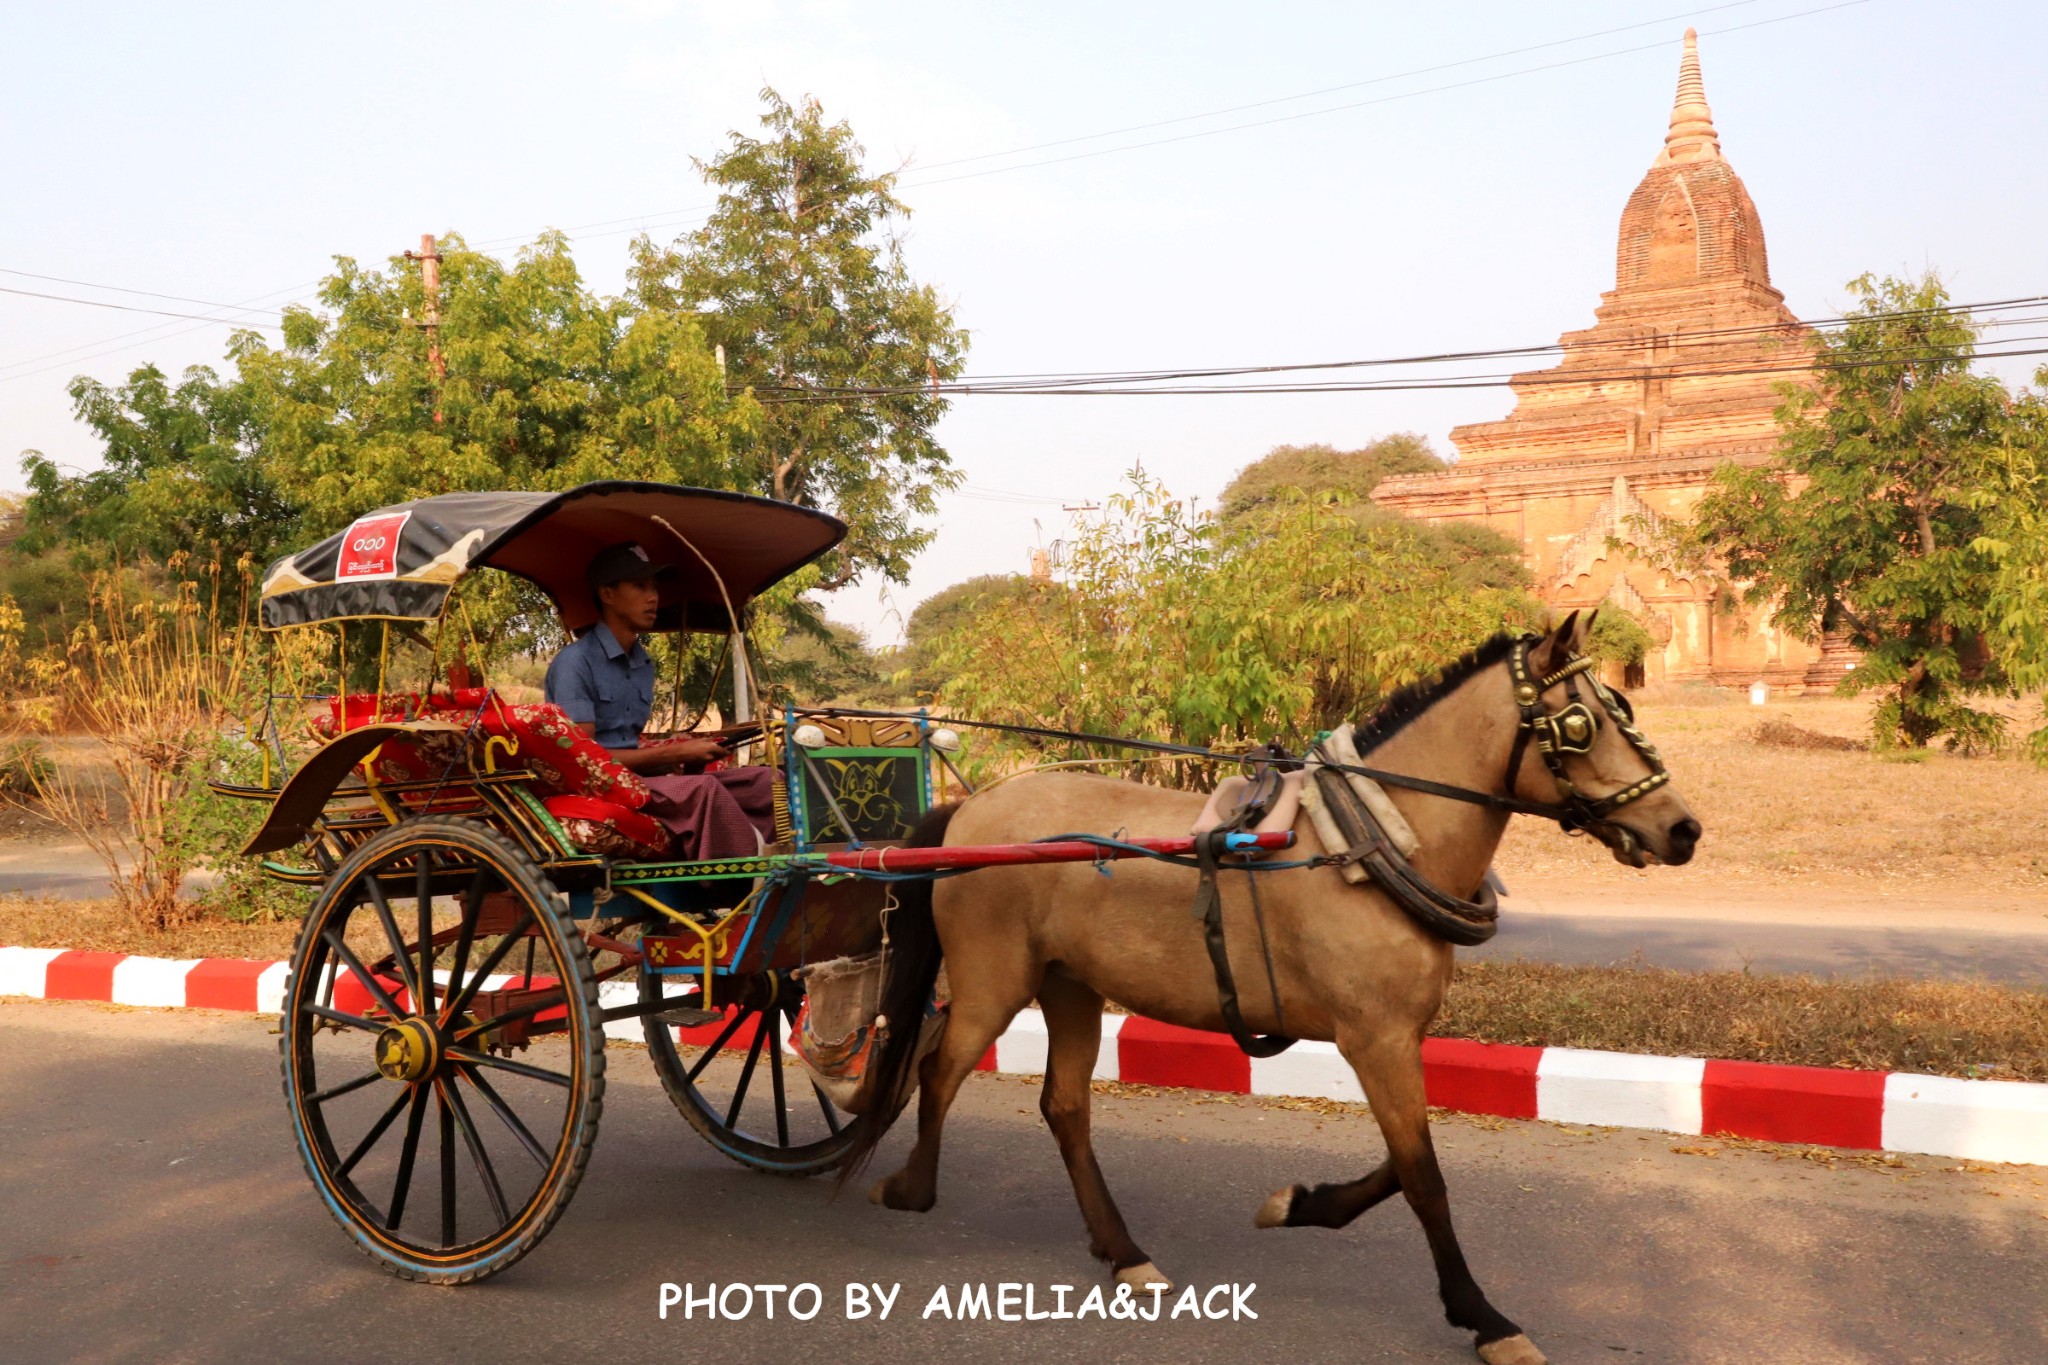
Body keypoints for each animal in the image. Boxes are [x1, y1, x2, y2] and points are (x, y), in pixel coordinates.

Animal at [839, 618, 1703, 1365]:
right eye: (1581, 721)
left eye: (1620, 707)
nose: (1683, 829)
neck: (1373, 840)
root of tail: (971, 809)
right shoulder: (1374, 1038)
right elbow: (1424, 1175)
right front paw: (1483, 1316)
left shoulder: (1394, 1037)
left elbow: (1406, 1159)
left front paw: (1301, 1203)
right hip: (995, 979)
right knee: (938, 1071)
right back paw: (911, 1188)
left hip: (1070, 984)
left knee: (1064, 1106)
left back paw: (1123, 1251)